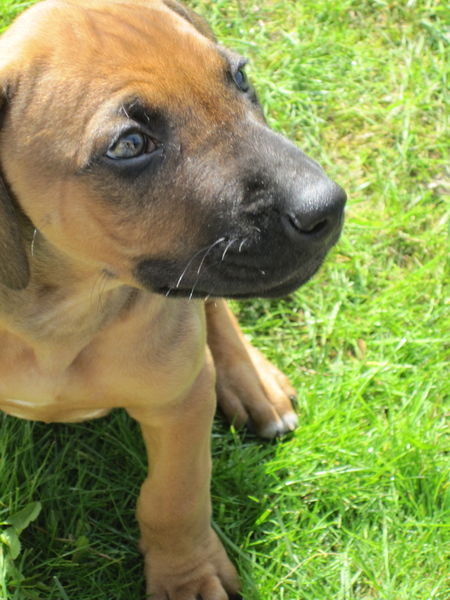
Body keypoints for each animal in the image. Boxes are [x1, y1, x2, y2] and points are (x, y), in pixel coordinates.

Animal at [0, 1, 348, 596]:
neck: (61, 313)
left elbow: (174, 497)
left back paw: (252, 381)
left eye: (240, 78)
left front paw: (187, 574)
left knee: (215, 309)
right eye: (129, 145)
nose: (325, 205)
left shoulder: (182, 399)